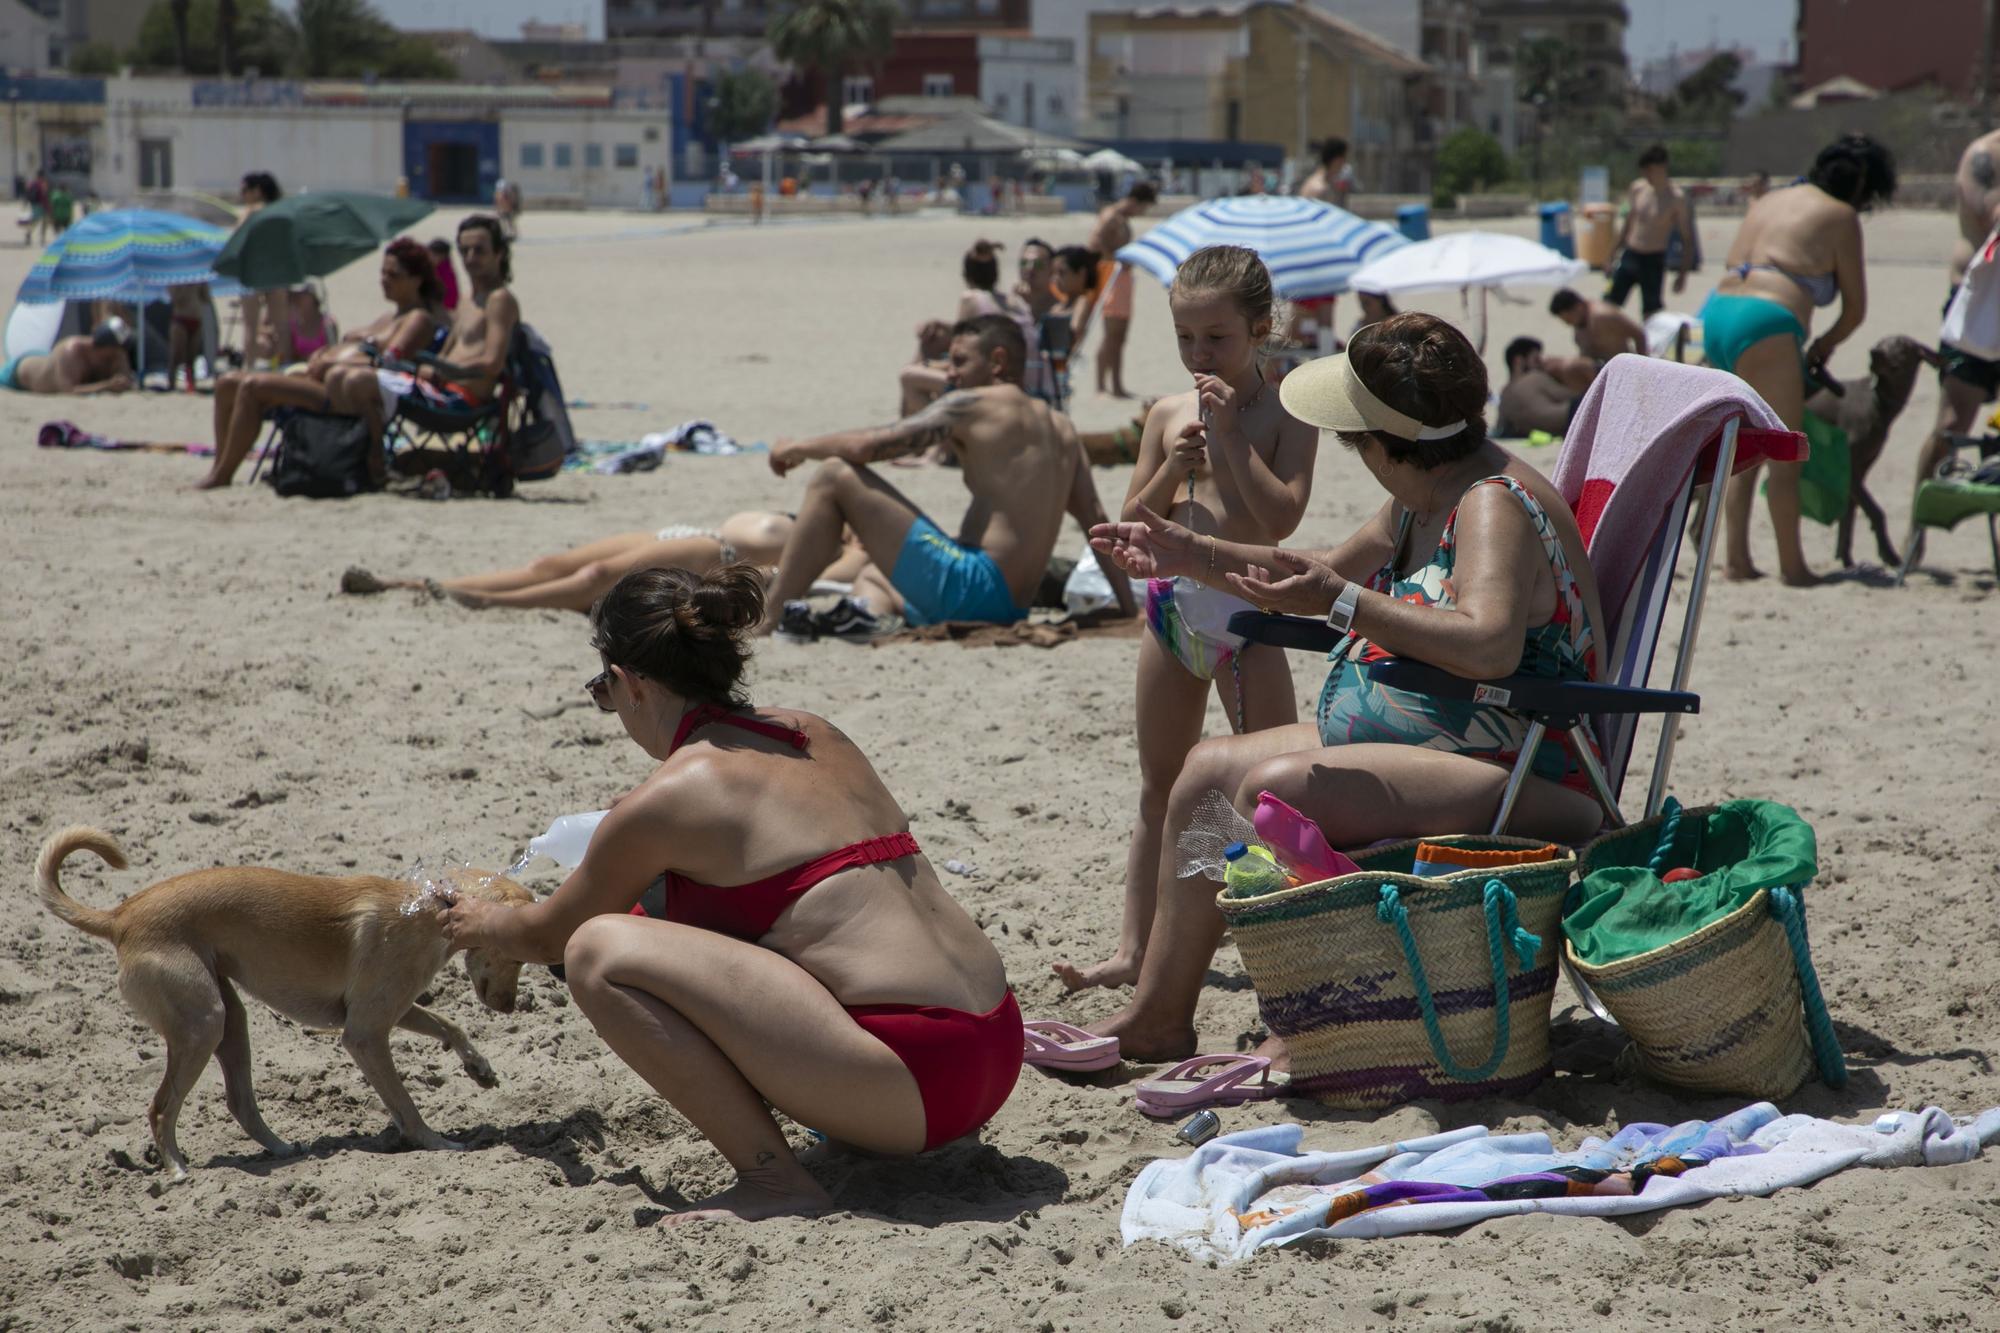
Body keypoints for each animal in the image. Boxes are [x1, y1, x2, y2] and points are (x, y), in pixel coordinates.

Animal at [36, 824, 536, 1176]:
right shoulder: (364, 1034)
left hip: (229, 1021)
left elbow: (450, 1026)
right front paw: (436, 1143)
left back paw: (281, 1149)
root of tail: (120, 916)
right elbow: (405, 1105)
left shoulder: (388, 1010)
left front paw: (479, 1068)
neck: (431, 906)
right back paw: (177, 1169)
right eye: (517, 954)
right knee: (161, 1108)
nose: (511, 1007)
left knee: (240, 1103)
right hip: (203, 1024)